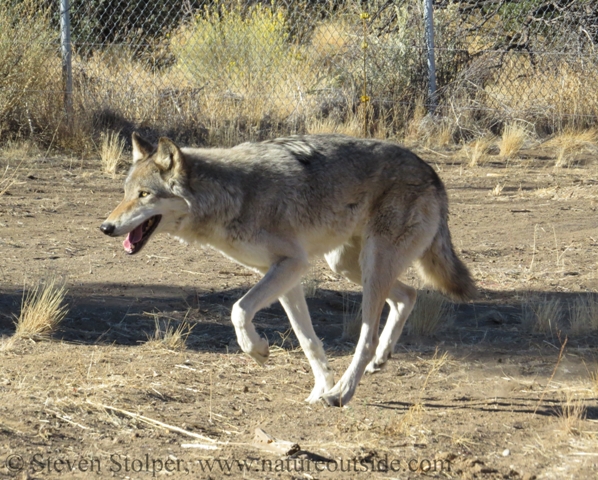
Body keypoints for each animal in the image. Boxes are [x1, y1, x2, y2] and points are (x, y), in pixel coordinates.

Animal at [103, 133, 478, 406]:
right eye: (124, 193)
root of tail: (432, 172)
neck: (232, 195)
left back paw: (344, 391)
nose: (106, 227)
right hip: (347, 265)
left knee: (368, 336)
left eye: (144, 194)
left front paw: (257, 350)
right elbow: (307, 339)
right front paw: (318, 388)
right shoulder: (283, 272)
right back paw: (378, 361)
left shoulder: (292, 264)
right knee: (407, 295)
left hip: (370, 265)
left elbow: (239, 310)